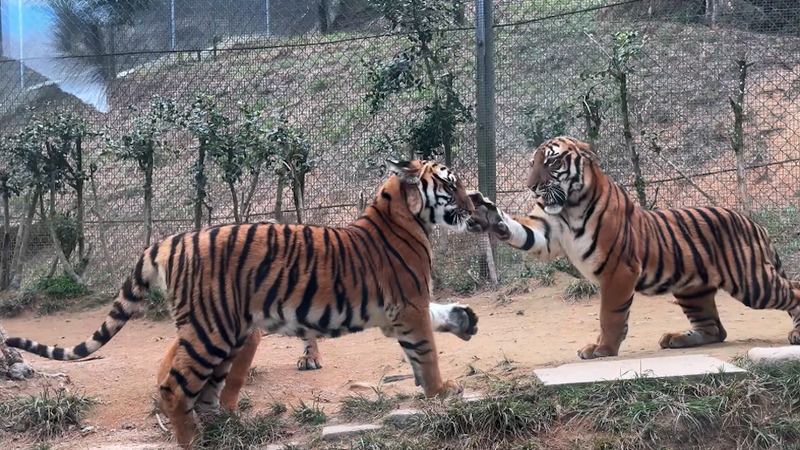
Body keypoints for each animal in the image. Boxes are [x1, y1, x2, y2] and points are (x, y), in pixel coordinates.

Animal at [6, 158, 480, 448]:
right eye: (450, 183)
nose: (476, 202)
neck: (403, 214)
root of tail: (169, 240)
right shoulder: (409, 305)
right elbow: (426, 352)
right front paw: (441, 391)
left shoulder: (403, 309)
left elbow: (438, 324)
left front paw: (465, 321)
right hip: (212, 331)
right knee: (175, 387)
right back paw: (195, 441)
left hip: (223, 333)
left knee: (205, 395)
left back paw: (224, 431)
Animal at [466, 136, 800, 360]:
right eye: (533, 164)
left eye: (551, 161)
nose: (532, 187)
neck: (569, 208)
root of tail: (753, 223)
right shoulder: (546, 232)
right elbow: (522, 231)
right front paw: (487, 214)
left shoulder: (618, 270)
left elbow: (610, 315)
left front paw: (602, 349)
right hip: (692, 290)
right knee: (715, 329)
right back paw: (675, 338)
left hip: (752, 282)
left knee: (793, 290)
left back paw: (796, 333)